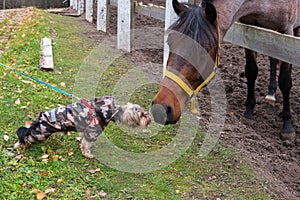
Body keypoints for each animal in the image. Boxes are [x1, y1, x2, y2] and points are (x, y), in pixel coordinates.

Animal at [13, 96, 150, 159]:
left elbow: (83, 142)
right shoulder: (92, 131)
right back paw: (19, 146)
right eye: (142, 115)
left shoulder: (85, 131)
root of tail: (41, 118)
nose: (149, 118)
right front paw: (87, 154)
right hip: (41, 132)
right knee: (26, 135)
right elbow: (86, 144)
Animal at [152, 0, 298, 141]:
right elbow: (251, 71)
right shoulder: (250, 29)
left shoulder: (287, 32)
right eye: (170, 42)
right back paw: (271, 92)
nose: (161, 108)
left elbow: (285, 81)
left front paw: (287, 126)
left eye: (203, 52)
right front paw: (249, 111)